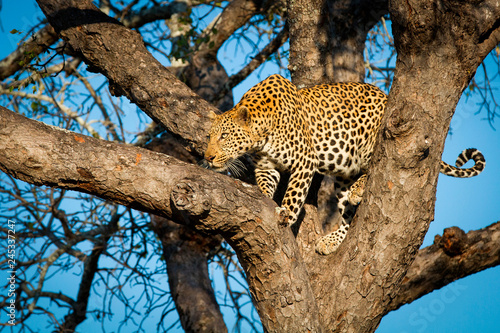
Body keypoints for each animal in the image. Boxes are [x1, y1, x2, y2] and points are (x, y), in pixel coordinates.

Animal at [202, 73, 484, 254]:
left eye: (224, 136)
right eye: (209, 137)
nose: (208, 157)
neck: (261, 133)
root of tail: (385, 96)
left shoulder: (305, 161)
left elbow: (293, 194)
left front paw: (287, 216)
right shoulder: (266, 167)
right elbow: (265, 184)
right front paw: (262, 196)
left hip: (375, 140)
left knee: (376, 168)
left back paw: (359, 190)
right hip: (341, 181)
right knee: (348, 216)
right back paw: (331, 240)